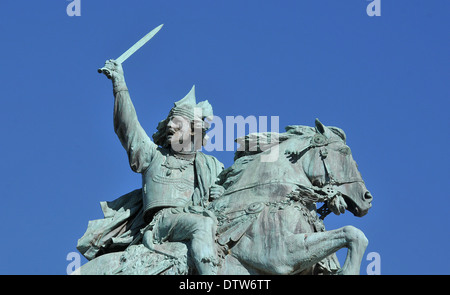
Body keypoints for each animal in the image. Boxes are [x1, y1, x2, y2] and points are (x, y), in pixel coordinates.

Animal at [76, 119, 372, 276]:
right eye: (344, 152)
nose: (367, 198)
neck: (266, 201)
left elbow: (354, 234)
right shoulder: (281, 256)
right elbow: (353, 233)